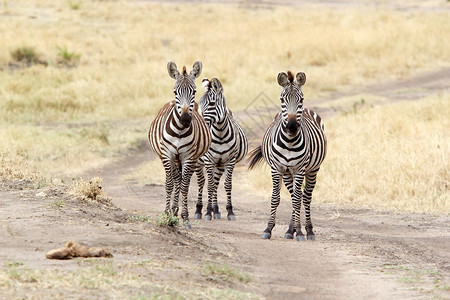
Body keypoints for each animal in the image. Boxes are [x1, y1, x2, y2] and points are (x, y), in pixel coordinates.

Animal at [148, 61, 211, 229]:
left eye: (194, 91)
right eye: (175, 92)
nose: (185, 119)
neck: (180, 131)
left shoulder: (188, 157)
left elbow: (184, 186)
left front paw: (185, 217)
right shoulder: (167, 155)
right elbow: (169, 184)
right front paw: (167, 215)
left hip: (192, 158)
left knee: (183, 180)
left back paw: (177, 210)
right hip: (172, 157)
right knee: (176, 179)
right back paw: (173, 210)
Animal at [194, 78, 250, 220]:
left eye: (212, 103)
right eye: (199, 103)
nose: (200, 121)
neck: (220, 134)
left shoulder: (230, 160)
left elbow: (227, 185)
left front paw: (229, 211)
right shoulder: (208, 161)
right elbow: (209, 185)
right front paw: (207, 212)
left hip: (219, 164)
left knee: (215, 183)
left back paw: (216, 210)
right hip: (198, 162)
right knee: (201, 182)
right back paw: (198, 210)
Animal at [246, 70, 326, 241]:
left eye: (301, 99)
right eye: (282, 99)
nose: (292, 126)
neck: (289, 141)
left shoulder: (300, 169)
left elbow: (297, 200)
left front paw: (301, 232)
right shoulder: (276, 169)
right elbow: (276, 198)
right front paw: (268, 229)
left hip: (313, 169)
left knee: (305, 197)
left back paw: (308, 230)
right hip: (287, 173)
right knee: (295, 195)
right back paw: (290, 230)